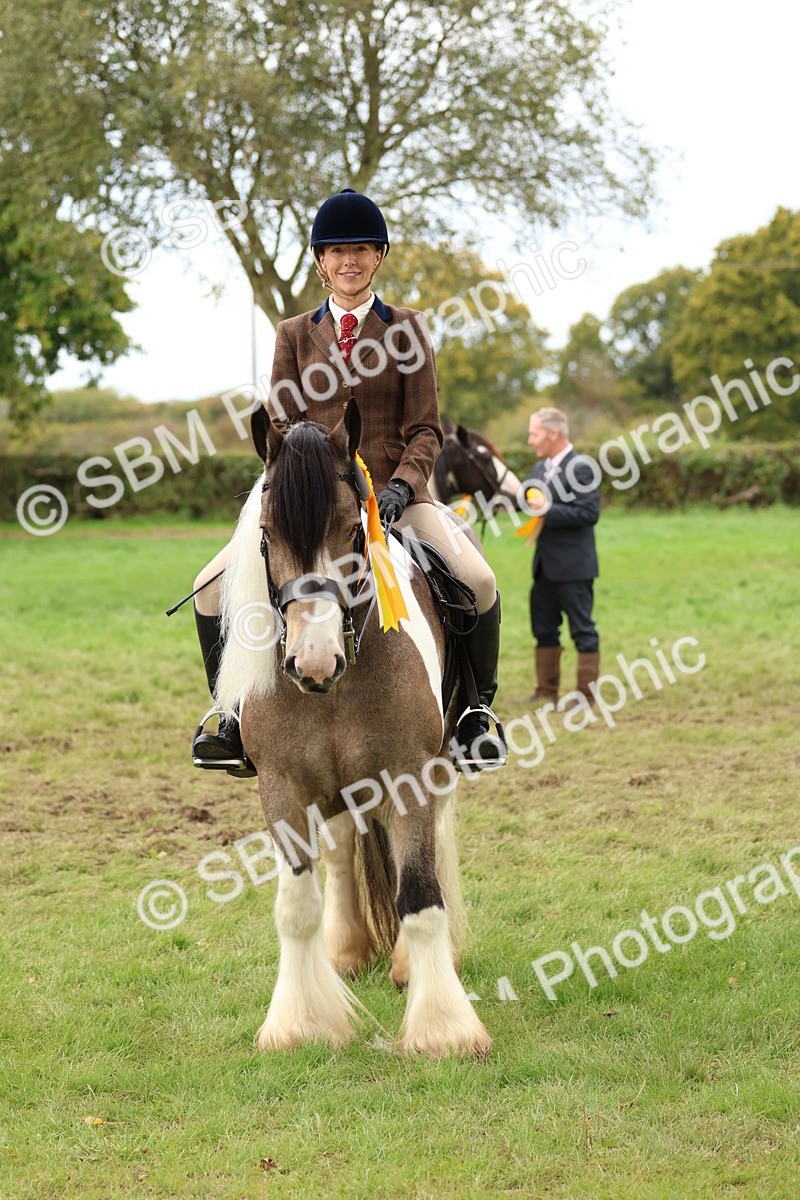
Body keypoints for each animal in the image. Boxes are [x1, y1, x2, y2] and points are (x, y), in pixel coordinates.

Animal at [214, 400, 492, 1059]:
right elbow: (296, 904)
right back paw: (345, 951)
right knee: (342, 849)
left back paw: (408, 965)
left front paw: (443, 1030)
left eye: (351, 530)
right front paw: (300, 1024)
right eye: (267, 535)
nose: (313, 663)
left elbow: (420, 898)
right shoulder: (282, 784)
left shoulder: (411, 773)